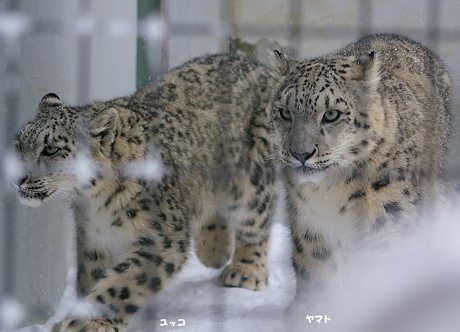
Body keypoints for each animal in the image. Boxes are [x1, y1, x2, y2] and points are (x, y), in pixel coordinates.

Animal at [14, 54, 276, 332]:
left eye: (51, 149)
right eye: (19, 143)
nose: (17, 177)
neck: (96, 203)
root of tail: (248, 60)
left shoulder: (161, 238)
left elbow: (122, 285)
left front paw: (87, 323)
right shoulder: (93, 238)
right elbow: (91, 277)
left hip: (254, 177)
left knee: (256, 219)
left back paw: (245, 270)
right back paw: (214, 250)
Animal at [268, 35, 452, 312]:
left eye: (331, 114)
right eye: (285, 112)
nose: (301, 153)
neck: (331, 190)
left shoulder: (388, 220)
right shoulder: (311, 224)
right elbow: (319, 272)